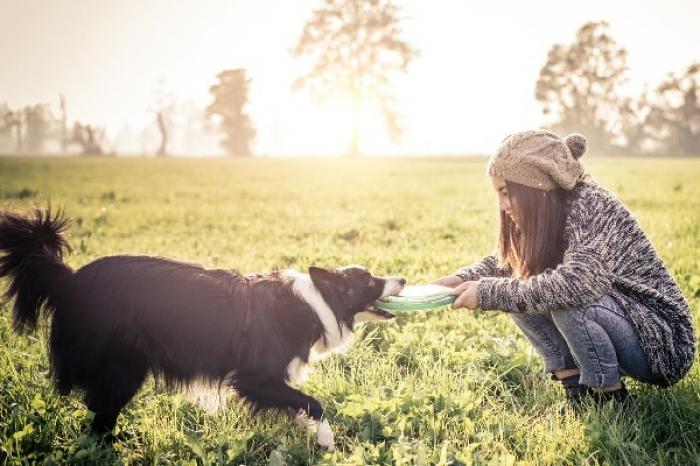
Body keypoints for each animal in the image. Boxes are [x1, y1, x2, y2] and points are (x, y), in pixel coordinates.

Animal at [0, 209, 404, 450]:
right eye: (370, 280)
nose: (401, 278)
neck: (314, 302)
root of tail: (69, 280)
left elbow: (299, 404)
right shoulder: (254, 378)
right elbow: (312, 403)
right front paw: (326, 439)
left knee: (100, 411)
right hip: (123, 367)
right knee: (101, 415)